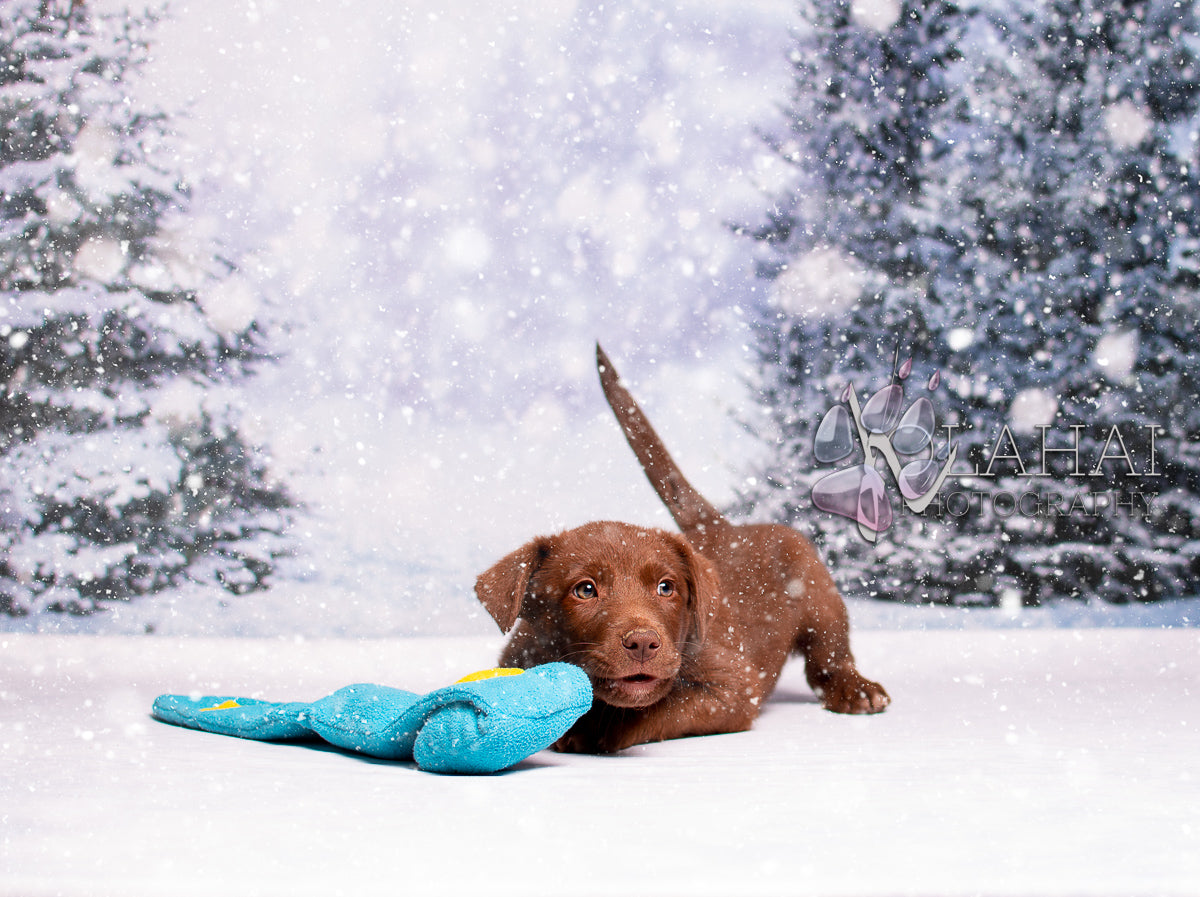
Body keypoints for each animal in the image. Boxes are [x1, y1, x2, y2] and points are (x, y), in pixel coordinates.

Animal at [472, 347, 888, 753]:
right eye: (585, 590)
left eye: (666, 588)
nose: (643, 642)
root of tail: (724, 527)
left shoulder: (734, 686)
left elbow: (661, 704)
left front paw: (596, 729)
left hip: (818, 595)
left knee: (829, 658)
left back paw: (857, 690)